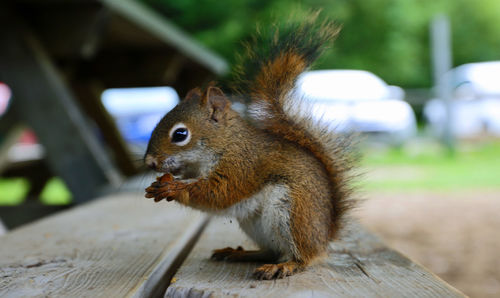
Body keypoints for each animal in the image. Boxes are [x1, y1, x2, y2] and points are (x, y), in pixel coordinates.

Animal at [144, 15, 356, 280]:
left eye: (180, 134)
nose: (149, 162)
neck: (227, 142)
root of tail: (325, 237)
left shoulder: (242, 165)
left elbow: (220, 192)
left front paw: (173, 188)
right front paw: (159, 184)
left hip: (293, 213)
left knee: (303, 257)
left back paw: (284, 265)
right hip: (256, 225)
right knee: (270, 251)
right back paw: (239, 253)